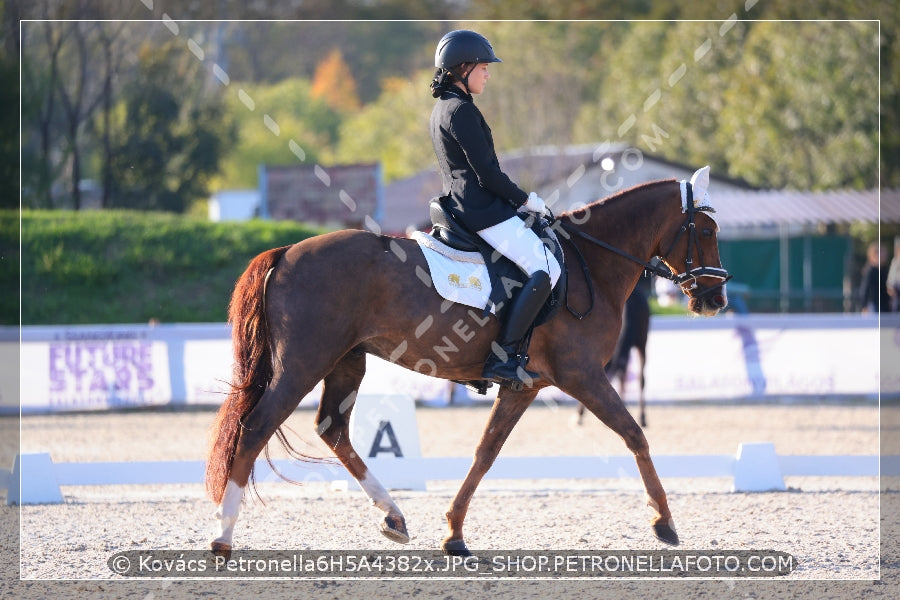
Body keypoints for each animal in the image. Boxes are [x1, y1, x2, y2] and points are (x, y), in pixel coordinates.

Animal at [206, 169, 732, 556]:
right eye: (706, 230)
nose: (715, 299)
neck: (592, 264)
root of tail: (286, 251)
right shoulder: (582, 375)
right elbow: (634, 435)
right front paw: (664, 521)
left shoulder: (525, 385)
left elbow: (485, 453)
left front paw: (454, 533)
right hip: (304, 362)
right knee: (256, 428)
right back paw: (223, 537)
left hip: (345, 361)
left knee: (332, 430)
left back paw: (394, 516)